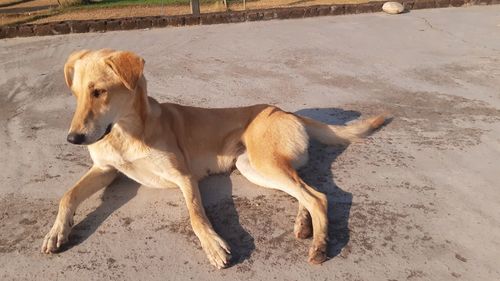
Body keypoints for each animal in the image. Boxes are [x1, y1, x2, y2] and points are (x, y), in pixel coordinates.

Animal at [42, 49, 386, 268]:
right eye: (76, 94)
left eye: (99, 92)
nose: (73, 139)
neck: (126, 132)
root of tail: (284, 111)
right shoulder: (105, 169)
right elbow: (67, 195)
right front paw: (57, 231)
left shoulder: (184, 177)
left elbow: (196, 214)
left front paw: (213, 244)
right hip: (254, 167)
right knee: (309, 191)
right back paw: (304, 224)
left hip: (264, 163)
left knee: (319, 197)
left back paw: (320, 244)